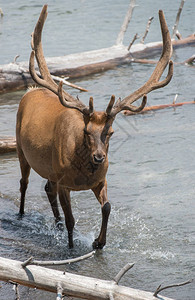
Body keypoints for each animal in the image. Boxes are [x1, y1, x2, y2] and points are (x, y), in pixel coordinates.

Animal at [16, 4, 173, 250]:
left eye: (110, 132)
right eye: (86, 131)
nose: (99, 157)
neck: (83, 173)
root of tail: (31, 90)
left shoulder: (100, 180)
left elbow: (107, 207)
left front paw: (99, 242)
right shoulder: (64, 182)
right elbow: (71, 220)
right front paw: (71, 247)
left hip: (49, 170)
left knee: (47, 189)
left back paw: (56, 225)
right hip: (20, 149)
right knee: (24, 183)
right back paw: (22, 215)